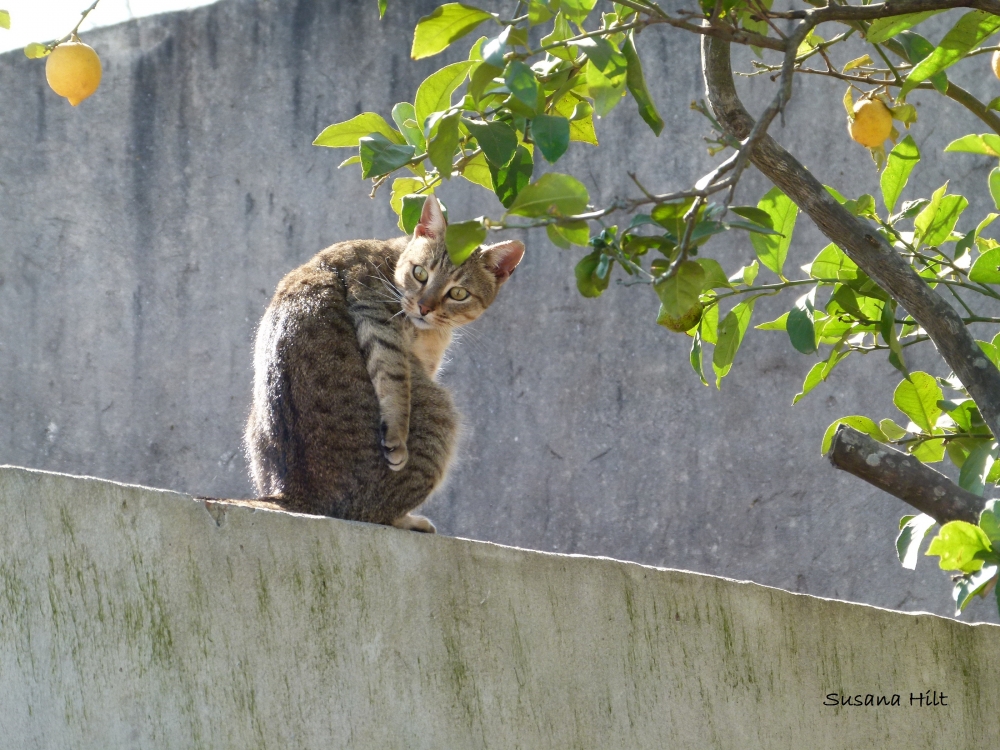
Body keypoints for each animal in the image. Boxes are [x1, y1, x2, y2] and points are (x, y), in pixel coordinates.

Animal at [244, 197, 524, 532]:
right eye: (420, 273)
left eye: (458, 293)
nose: (424, 307)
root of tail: (293, 495)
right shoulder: (372, 309)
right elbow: (394, 380)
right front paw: (397, 437)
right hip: (440, 414)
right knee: (379, 515)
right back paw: (411, 519)